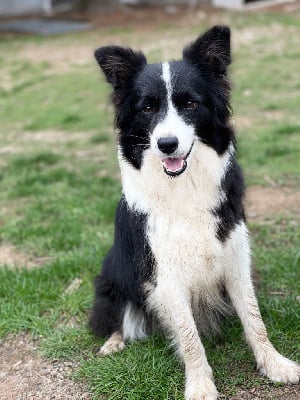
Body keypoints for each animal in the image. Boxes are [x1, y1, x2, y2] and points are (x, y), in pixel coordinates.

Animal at [89, 25, 300, 400]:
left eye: (190, 103)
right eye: (147, 108)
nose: (166, 145)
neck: (183, 186)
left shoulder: (235, 256)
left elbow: (254, 318)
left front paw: (274, 364)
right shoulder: (166, 273)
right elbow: (189, 339)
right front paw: (200, 386)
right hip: (112, 277)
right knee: (115, 318)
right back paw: (113, 343)